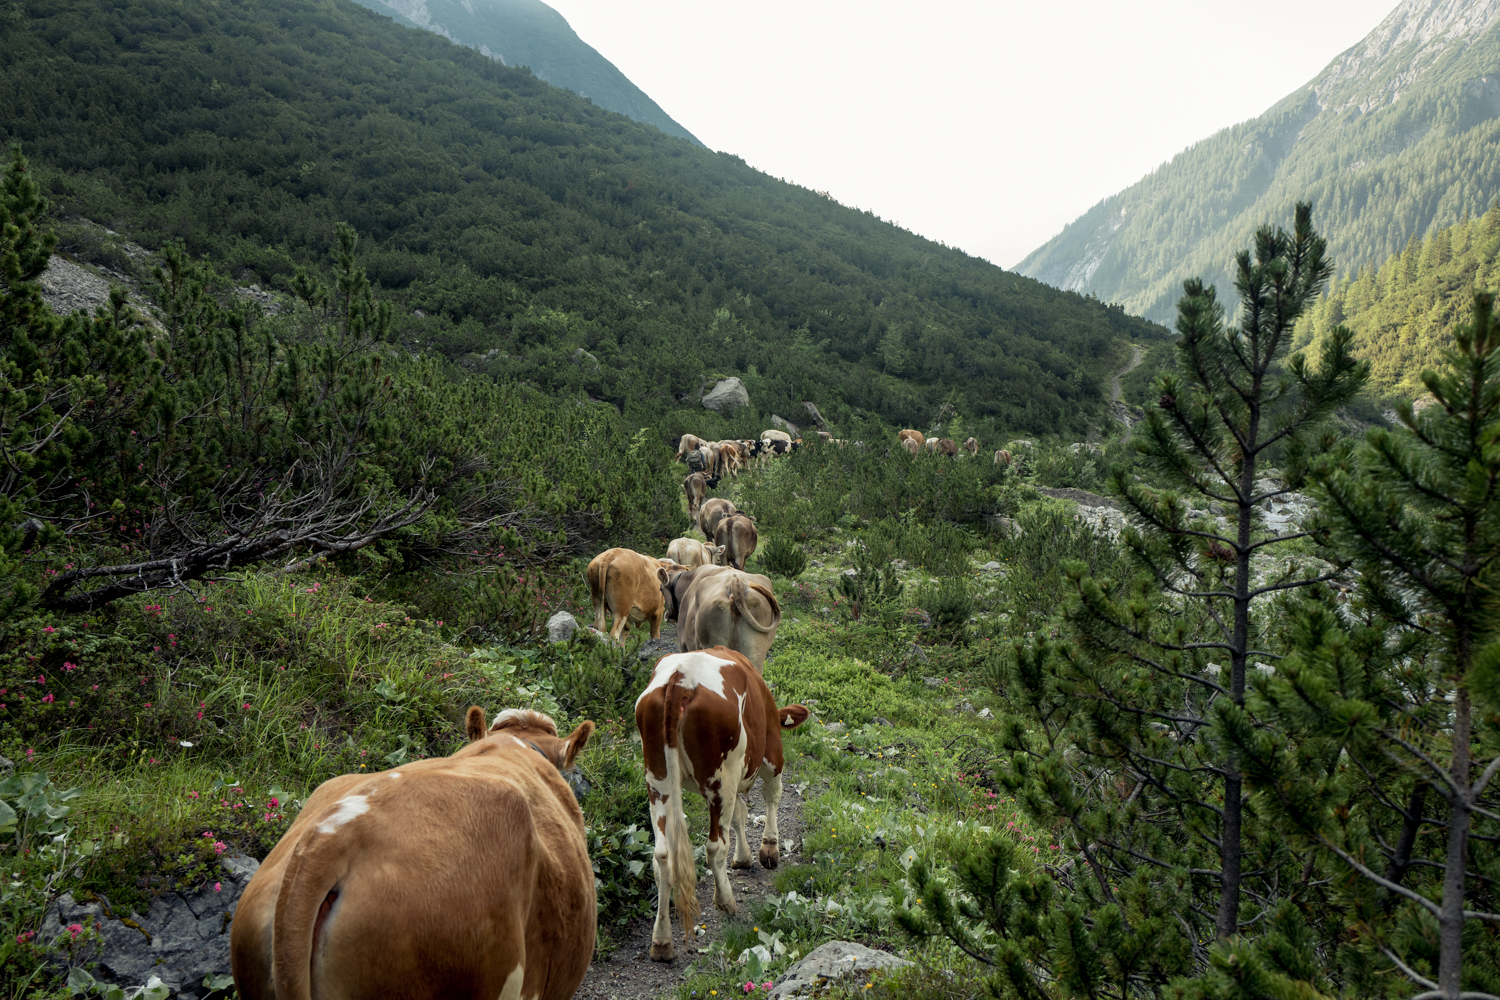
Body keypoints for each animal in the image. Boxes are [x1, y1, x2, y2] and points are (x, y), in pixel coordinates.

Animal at [639, 650, 816, 959]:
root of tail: (681, 677)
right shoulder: (772, 753)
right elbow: (772, 796)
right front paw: (768, 849)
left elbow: (740, 815)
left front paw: (744, 856)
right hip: (722, 776)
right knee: (714, 846)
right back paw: (726, 900)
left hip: (658, 780)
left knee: (662, 856)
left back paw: (661, 941)